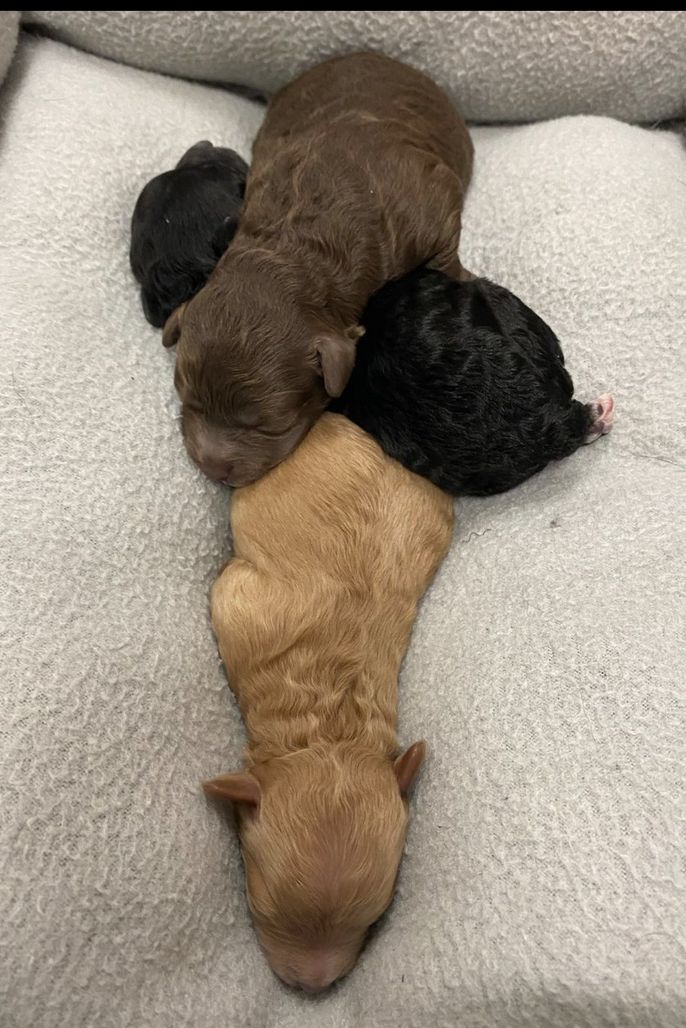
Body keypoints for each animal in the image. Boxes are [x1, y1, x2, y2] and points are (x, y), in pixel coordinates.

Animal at [164, 52, 474, 485]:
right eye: (187, 398)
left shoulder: (433, 211)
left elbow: (446, 253)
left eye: (269, 425)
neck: (294, 246)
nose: (211, 468)